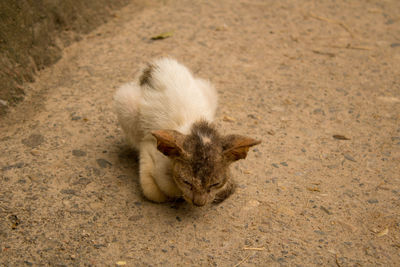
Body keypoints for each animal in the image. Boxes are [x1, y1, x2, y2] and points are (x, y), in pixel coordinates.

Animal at [114, 57, 260, 206]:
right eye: (187, 182)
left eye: (215, 184)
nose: (199, 203)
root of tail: (158, 63)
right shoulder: (148, 146)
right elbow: (153, 193)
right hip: (125, 101)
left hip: (208, 89)